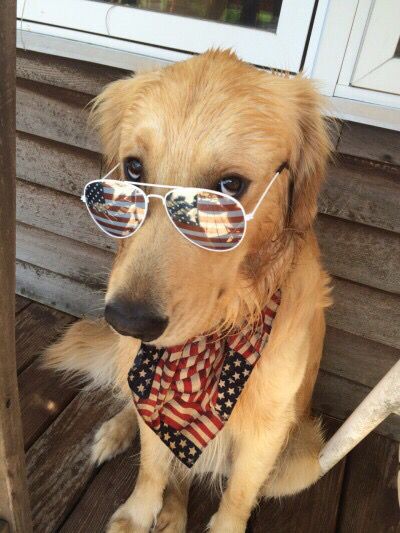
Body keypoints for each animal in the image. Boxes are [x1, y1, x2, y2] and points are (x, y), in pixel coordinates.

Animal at [45, 51, 332, 532]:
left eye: (229, 187)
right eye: (134, 168)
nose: (126, 321)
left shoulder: (268, 431)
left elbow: (237, 495)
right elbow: (152, 465)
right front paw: (137, 514)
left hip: (303, 462)